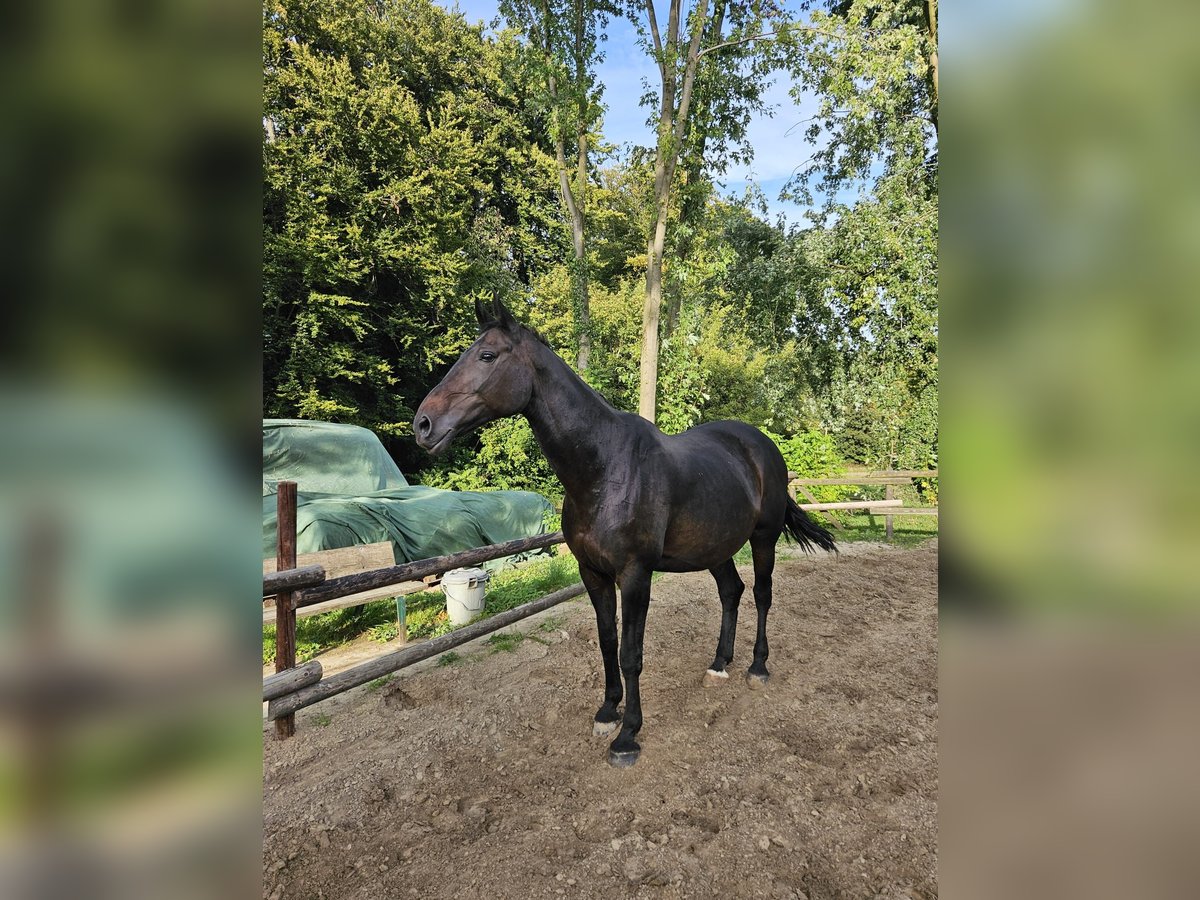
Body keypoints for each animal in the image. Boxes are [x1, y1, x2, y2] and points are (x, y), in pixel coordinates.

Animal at [412, 301, 835, 768]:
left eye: (487, 356)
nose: (423, 424)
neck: (605, 468)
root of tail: (762, 445)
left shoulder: (634, 576)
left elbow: (631, 654)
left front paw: (628, 735)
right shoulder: (593, 574)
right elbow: (606, 642)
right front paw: (607, 711)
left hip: (762, 539)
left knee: (761, 594)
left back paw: (757, 667)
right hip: (715, 547)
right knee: (732, 592)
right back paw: (719, 664)